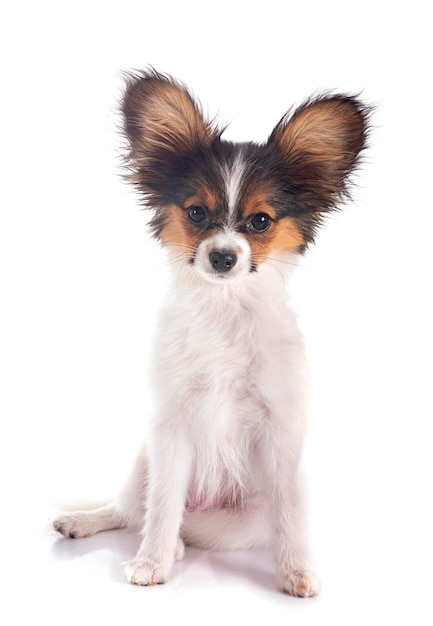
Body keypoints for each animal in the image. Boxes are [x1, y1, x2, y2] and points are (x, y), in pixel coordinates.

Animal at [54, 68, 370, 596]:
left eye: (260, 221)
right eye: (197, 213)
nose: (222, 256)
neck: (224, 311)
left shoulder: (281, 429)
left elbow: (290, 513)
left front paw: (297, 572)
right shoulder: (171, 425)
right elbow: (162, 506)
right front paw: (153, 563)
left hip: (239, 521)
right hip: (142, 462)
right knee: (131, 509)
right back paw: (89, 523)